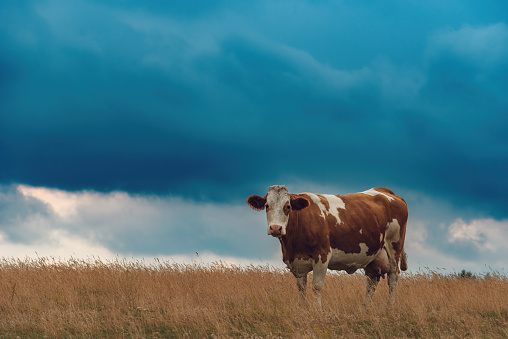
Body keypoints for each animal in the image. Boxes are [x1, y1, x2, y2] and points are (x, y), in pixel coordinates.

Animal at [246, 186, 408, 306]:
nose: (275, 228)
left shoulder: (322, 255)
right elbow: (301, 288)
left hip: (394, 247)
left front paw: (317, 311)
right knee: (371, 282)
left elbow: (317, 286)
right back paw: (365, 307)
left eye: (288, 206)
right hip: (373, 255)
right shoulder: (297, 261)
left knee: (392, 278)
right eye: (267, 206)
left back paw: (390, 307)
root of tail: (385, 191)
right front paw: (301, 309)